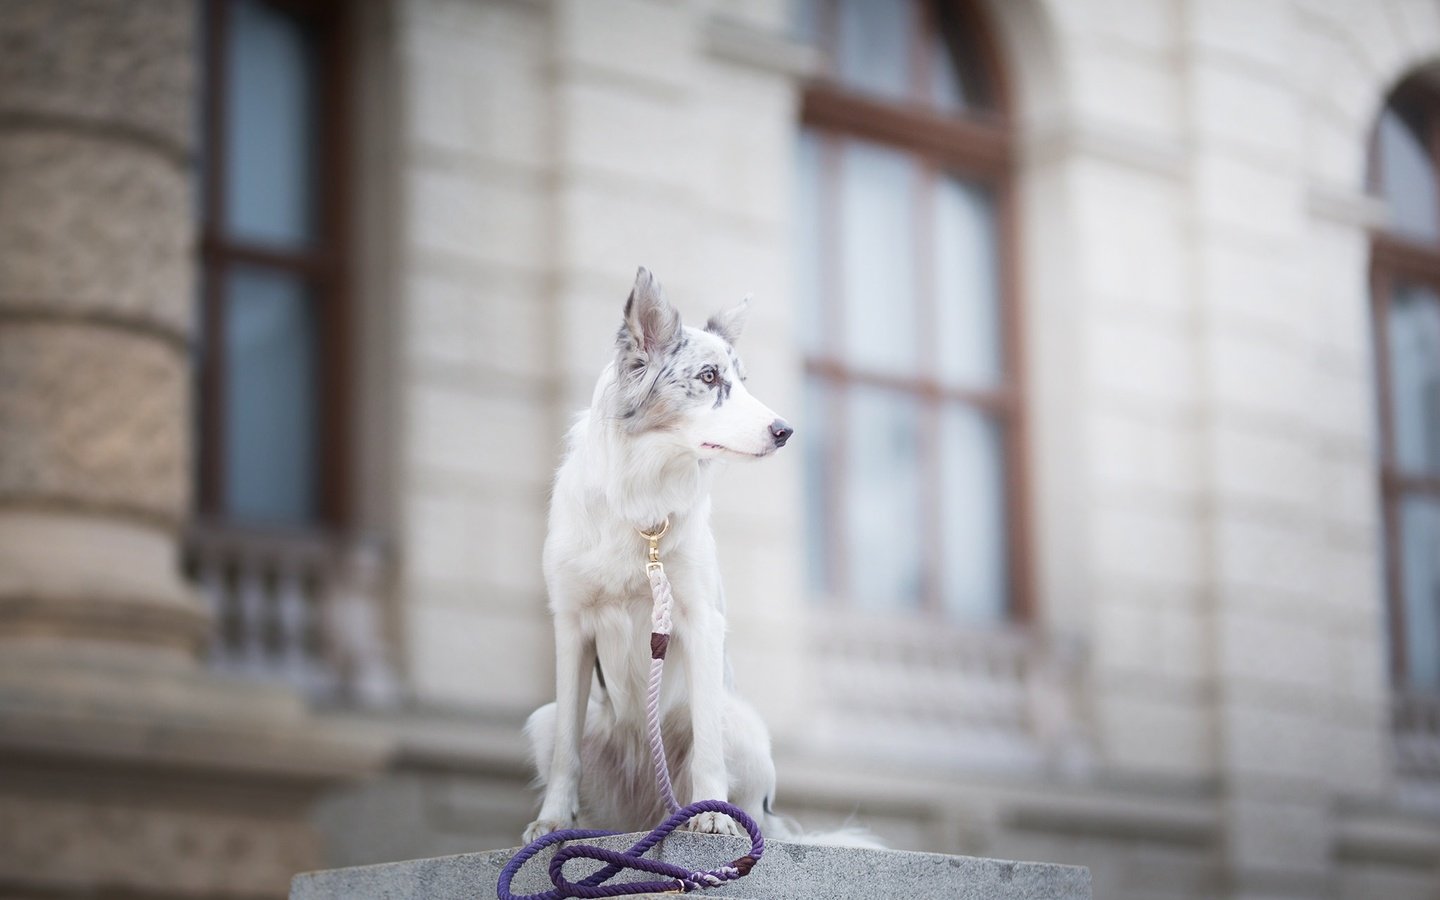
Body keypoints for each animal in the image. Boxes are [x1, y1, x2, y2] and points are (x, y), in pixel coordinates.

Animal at [524, 266, 800, 840]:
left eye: (743, 380)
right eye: (710, 377)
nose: (786, 431)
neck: (643, 501)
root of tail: (648, 812)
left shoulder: (699, 620)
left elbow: (707, 748)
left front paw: (714, 816)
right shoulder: (571, 625)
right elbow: (565, 751)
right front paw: (553, 820)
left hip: (745, 727)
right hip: (543, 719)